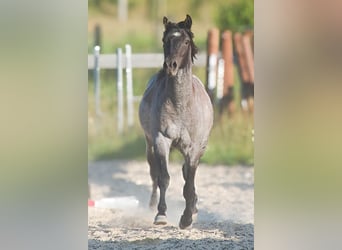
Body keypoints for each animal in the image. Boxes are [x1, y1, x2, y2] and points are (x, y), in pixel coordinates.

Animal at [139, 14, 214, 229]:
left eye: (186, 41)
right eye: (165, 41)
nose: (170, 66)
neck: (181, 104)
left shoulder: (195, 148)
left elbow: (189, 182)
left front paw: (187, 218)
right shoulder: (161, 140)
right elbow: (163, 178)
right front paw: (161, 215)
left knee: (187, 173)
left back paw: (194, 206)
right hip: (149, 145)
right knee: (154, 173)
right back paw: (152, 205)